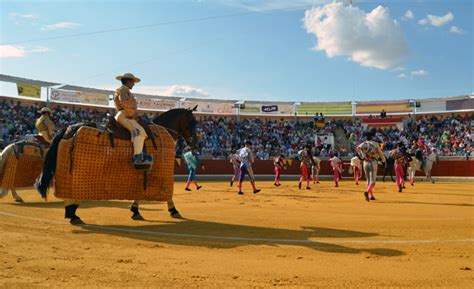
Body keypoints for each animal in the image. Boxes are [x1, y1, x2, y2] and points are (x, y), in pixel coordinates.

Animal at [36, 107, 198, 222]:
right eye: (192, 123)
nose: (195, 144)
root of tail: (69, 128)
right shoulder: (161, 175)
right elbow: (167, 194)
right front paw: (174, 210)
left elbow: (140, 193)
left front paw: (135, 211)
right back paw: (73, 214)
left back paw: (71, 214)